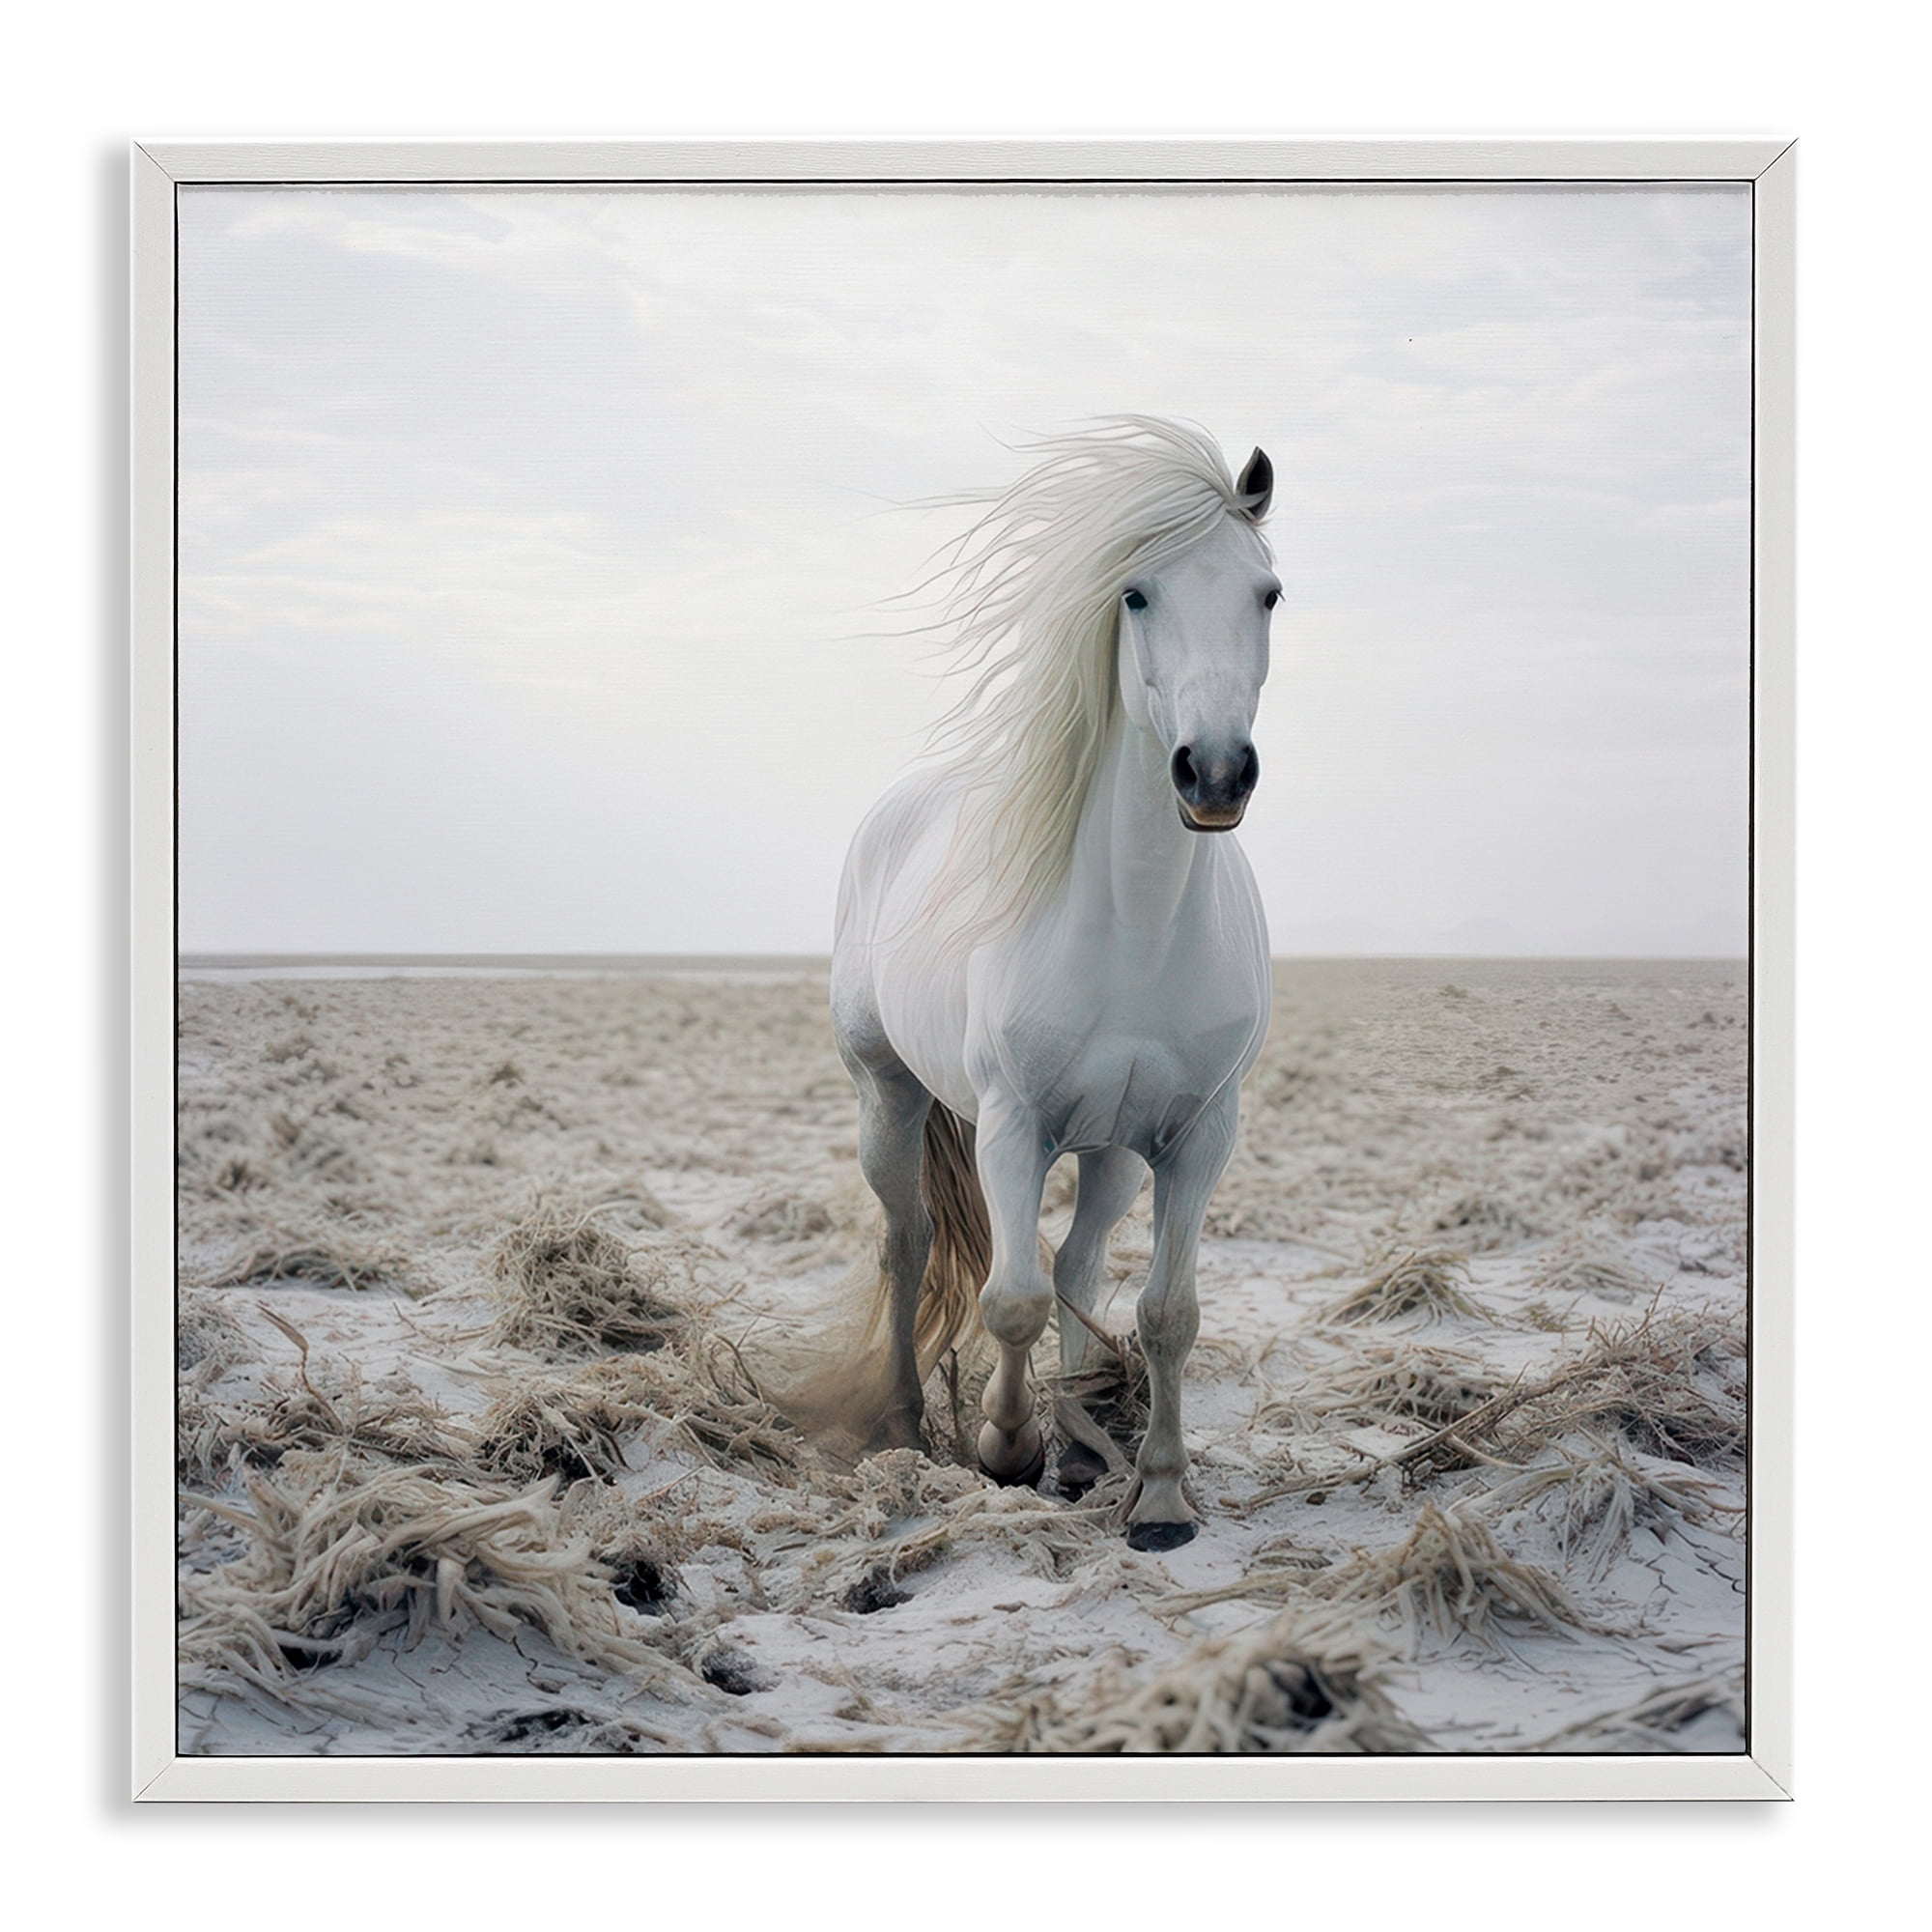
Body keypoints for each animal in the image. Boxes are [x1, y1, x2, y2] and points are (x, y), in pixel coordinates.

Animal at [829, 418, 1277, 1551]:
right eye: (1135, 594)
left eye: (1268, 592)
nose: (1214, 772)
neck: (1137, 925)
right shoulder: (1011, 1122)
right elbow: (1011, 1297)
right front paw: (1004, 1447)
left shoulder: (1197, 1135)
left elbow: (1165, 1311)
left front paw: (1156, 1492)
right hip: (888, 1095)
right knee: (910, 1246)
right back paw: (911, 1421)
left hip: (1113, 1145)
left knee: (1077, 1263)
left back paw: (1079, 1447)